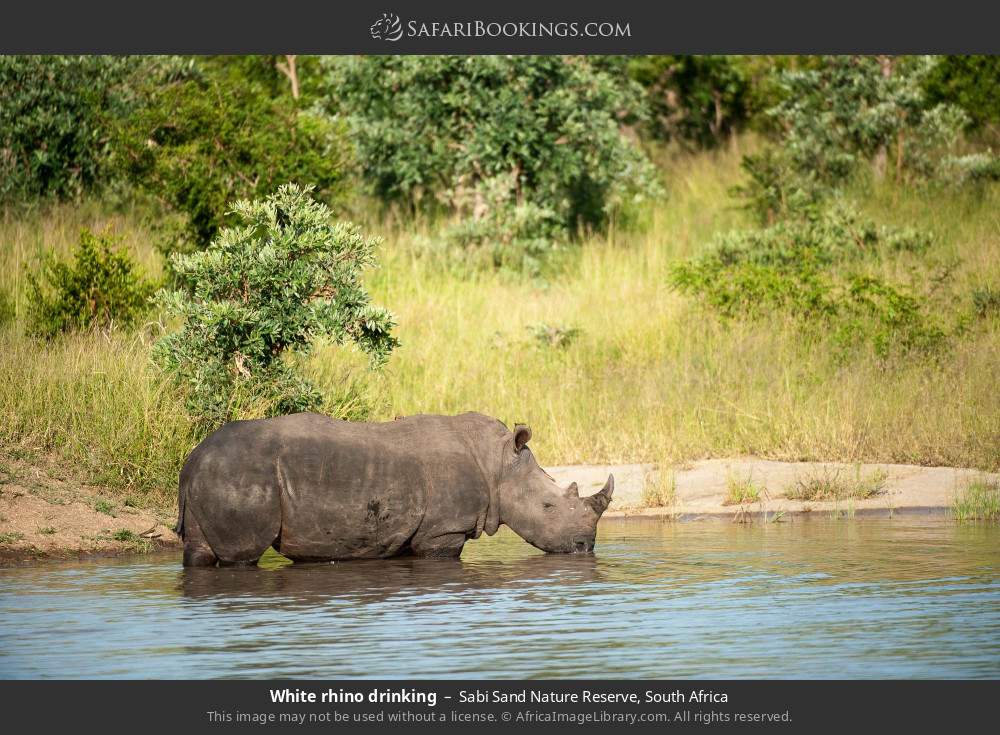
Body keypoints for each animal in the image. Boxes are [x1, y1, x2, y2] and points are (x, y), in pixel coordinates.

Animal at [177, 412, 614, 567]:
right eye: (548, 505)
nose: (585, 546)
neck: (497, 463)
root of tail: (192, 459)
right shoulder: (442, 532)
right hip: (241, 478)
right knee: (242, 555)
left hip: (215, 476)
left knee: (200, 550)